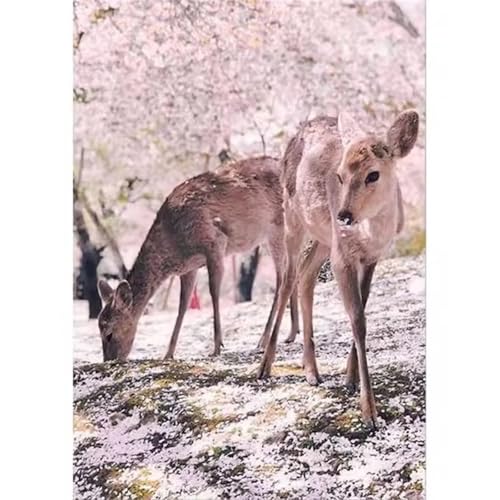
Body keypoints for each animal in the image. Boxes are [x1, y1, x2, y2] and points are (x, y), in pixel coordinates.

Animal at [97, 156, 298, 360]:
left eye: (109, 334)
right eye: (99, 330)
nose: (109, 360)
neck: (173, 243)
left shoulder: (215, 242)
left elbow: (213, 291)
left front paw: (217, 346)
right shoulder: (189, 268)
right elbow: (182, 305)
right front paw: (168, 353)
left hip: (277, 229)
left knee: (282, 278)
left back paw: (263, 340)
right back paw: (291, 333)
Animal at [258, 109, 418, 430]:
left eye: (373, 174)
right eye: (340, 175)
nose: (344, 215)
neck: (371, 235)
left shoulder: (371, 257)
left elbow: (363, 309)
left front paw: (350, 377)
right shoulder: (343, 256)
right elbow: (357, 319)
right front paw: (370, 412)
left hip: (323, 237)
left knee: (306, 275)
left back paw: (311, 370)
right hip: (293, 217)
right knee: (288, 278)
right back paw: (265, 366)